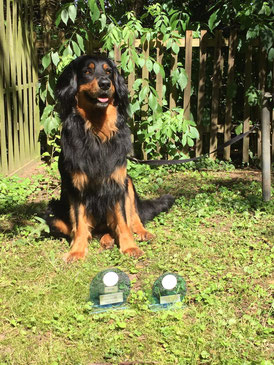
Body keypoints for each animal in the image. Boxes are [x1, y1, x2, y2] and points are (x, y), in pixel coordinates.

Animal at [47, 54, 174, 262]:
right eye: (87, 71)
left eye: (108, 71)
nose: (106, 84)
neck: (97, 132)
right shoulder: (76, 188)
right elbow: (79, 223)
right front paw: (77, 251)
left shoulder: (117, 183)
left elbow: (123, 220)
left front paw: (130, 246)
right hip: (52, 210)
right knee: (90, 229)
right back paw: (105, 239)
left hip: (128, 183)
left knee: (132, 217)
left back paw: (140, 232)